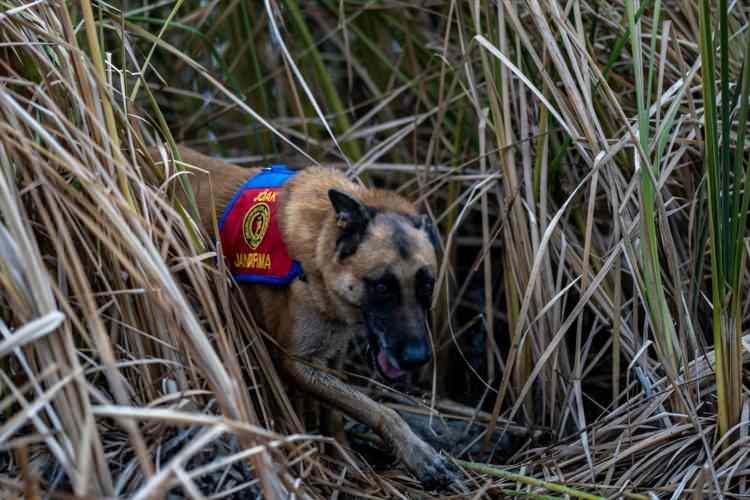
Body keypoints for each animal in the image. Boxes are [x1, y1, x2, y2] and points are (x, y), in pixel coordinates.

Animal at [147, 146, 452, 488]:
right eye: (383, 287)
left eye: (427, 285)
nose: (417, 358)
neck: (320, 239)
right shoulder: (296, 363)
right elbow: (380, 410)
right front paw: (417, 452)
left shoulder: (333, 351)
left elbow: (335, 414)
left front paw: (345, 460)